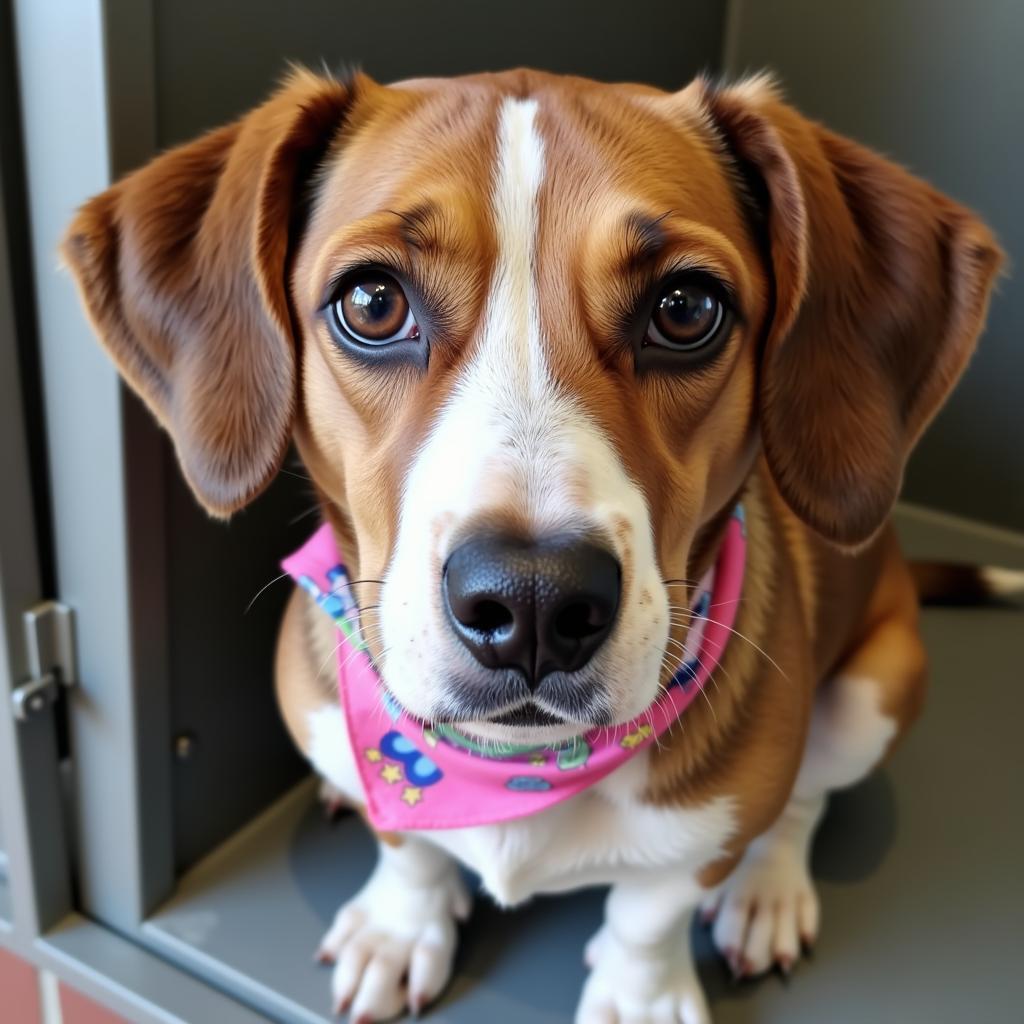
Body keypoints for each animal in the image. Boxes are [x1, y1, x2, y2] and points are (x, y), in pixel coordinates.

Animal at [61, 68, 999, 1019]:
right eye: (373, 302)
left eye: (686, 308)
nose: (535, 600)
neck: (512, 766)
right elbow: (408, 848)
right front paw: (399, 925)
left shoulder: (711, 830)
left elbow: (652, 910)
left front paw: (640, 994)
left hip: (875, 692)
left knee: (806, 801)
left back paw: (768, 892)